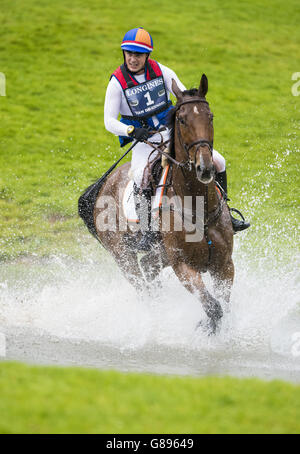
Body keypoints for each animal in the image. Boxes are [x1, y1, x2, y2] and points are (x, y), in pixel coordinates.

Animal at [79, 72, 234, 332]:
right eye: (181, 120)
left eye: (210, 116)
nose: (204, 168)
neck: (198, 207)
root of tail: (102, 186)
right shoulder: (183, 267)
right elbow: (213, 307)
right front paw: (204, 326)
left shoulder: (225, 266)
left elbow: (223, 306)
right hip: (124, 258)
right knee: (144, 290)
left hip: (158, 256)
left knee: (150, 274)